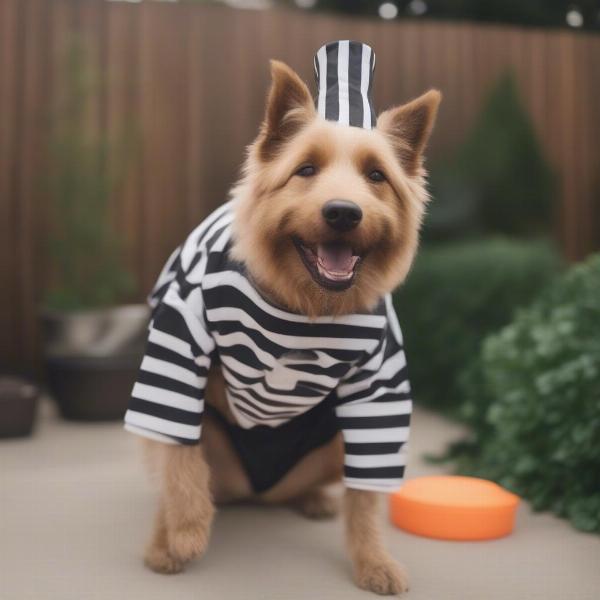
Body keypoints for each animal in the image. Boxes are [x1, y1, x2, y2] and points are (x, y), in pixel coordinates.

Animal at [124, 42, 438, 596]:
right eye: (306, 169)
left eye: (376, 175)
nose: (343, 212)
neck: (305, 305)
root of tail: (258, 491)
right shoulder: (177, 352)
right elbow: (181, 462)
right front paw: (183, 533)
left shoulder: (380, 388)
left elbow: (366, 500)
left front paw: (373, 559)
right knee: (180, 462)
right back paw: (171, 530)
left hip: (333, 446)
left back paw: (311, 498)